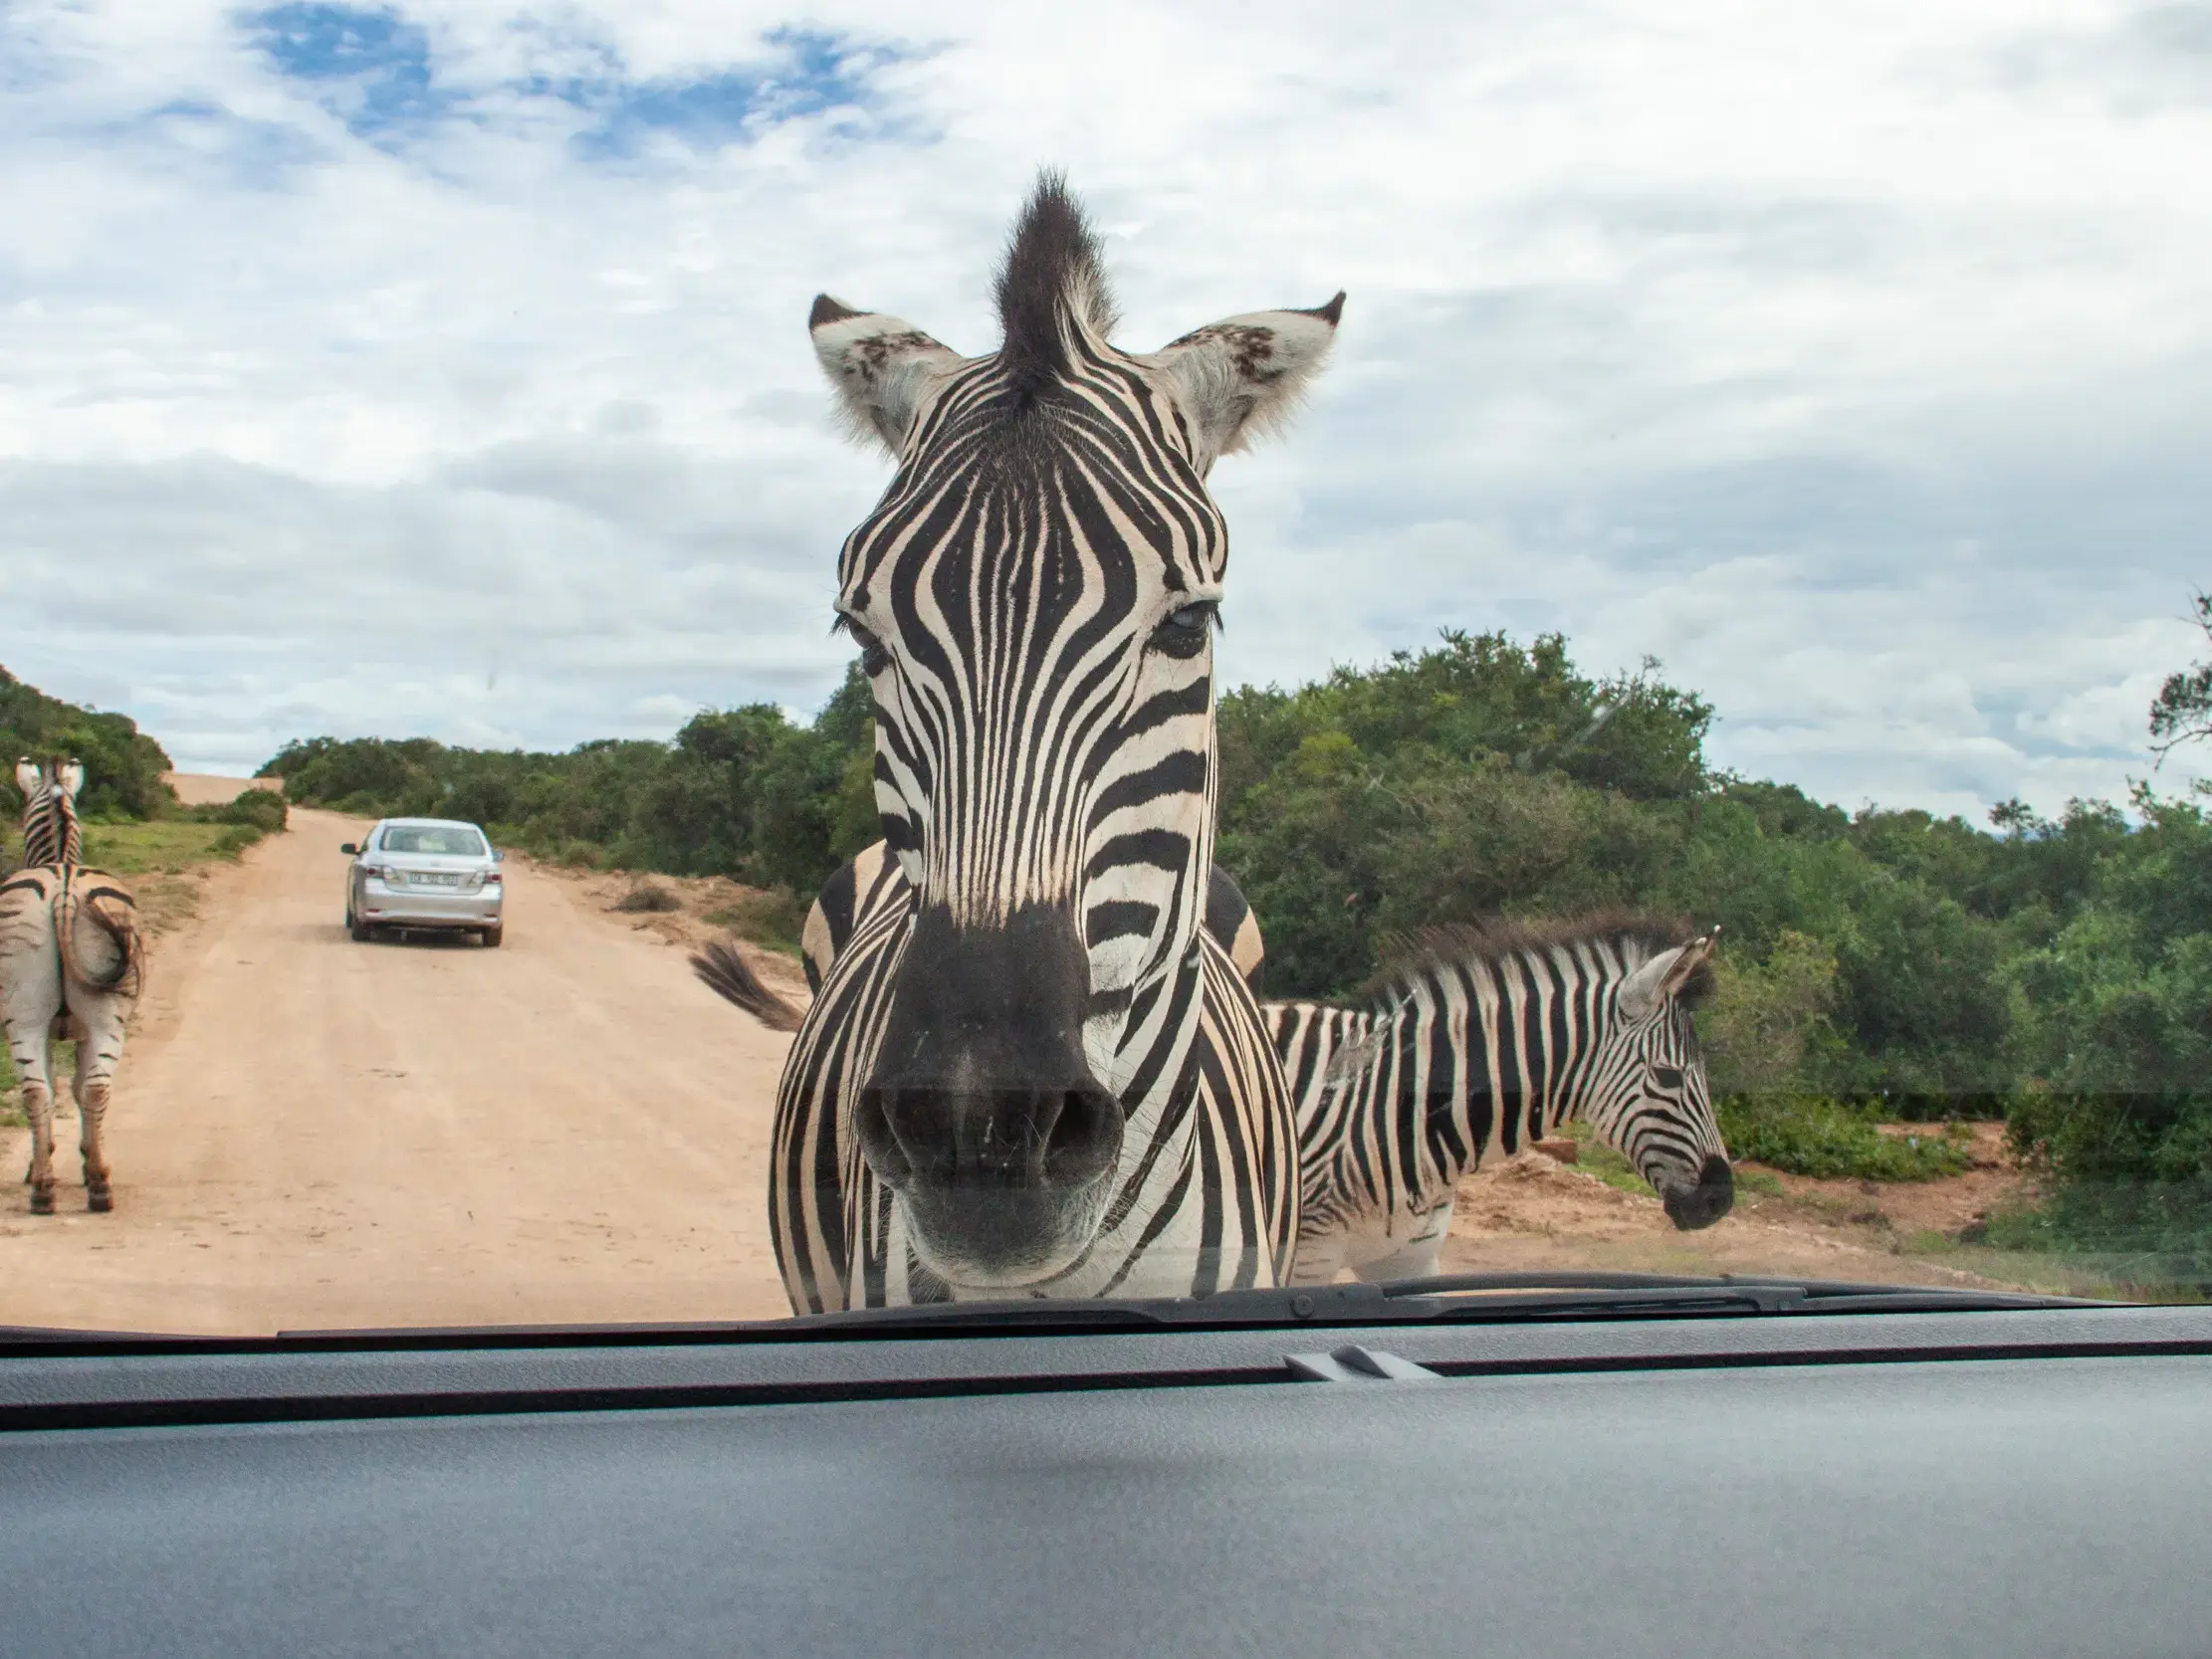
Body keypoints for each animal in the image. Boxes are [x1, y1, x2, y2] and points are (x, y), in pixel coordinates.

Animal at [1, 757, 144, 1213]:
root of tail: (63, 885)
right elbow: (77, 1089)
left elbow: (64, 1087)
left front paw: (42, 1161)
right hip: (102, 1016)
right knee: (91, 1089)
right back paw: (95, 1186)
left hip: (26, 1017)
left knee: (39, 1091)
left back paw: (46, 1185)